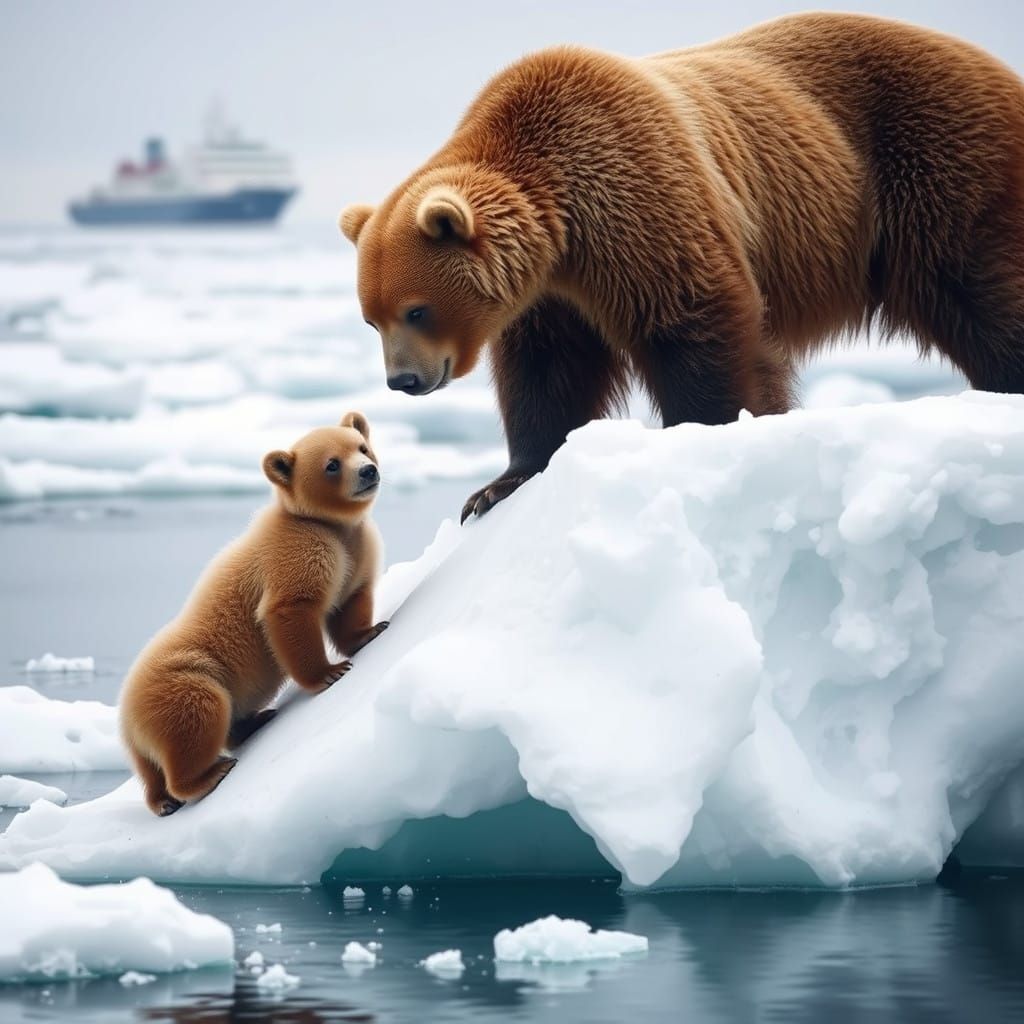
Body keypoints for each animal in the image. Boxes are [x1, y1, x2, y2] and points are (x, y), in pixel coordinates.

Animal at [119, 412, 388, 816]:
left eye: (362, 447)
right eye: (332, 464)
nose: (368, 471)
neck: (325, 525)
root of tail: (126, 718)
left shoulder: (355, 547)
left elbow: (352, 598)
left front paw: (371, 631)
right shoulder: (296, 550)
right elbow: (289, 609)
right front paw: (330, 673)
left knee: (153, 772)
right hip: (183, 680)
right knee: (198, 714)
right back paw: (207, 775)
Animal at [339, 12, 1024, 523]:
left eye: (416, 310)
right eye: (371, 319)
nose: (404, 379)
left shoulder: (639, 197)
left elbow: (695, 322)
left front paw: (710, 433)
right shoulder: (549, 292)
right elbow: (547, 370)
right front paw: (495, 486)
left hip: (935, 167)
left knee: (978, 291)